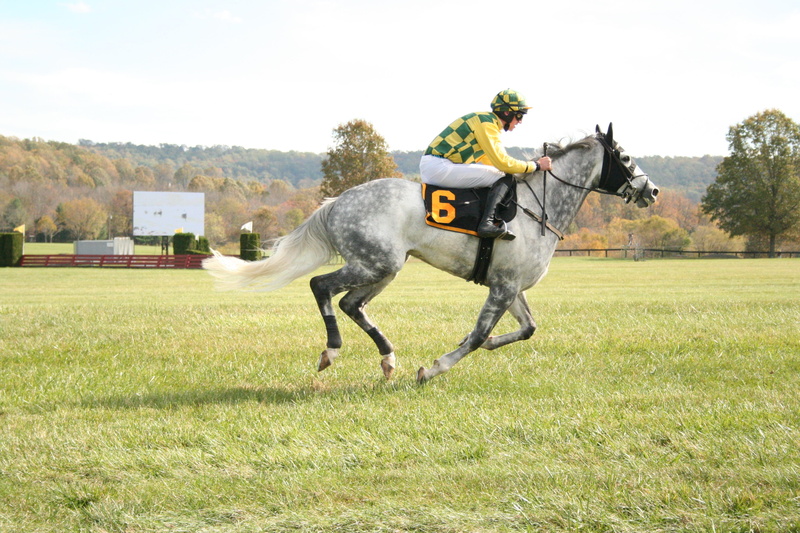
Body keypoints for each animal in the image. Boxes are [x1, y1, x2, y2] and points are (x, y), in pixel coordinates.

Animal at [203, 124, 660, 383]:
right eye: (625, 156)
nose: (652, 190)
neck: (539, 205)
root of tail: (337, 201)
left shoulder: (510, 286)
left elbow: (527, 329)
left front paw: (487, 346)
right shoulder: (503, 287)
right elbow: (476, 336)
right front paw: (434, 367)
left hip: (384, 268)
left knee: (351, 304)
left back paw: (388, 359)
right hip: (375, 263)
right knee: (321, 286)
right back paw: (331, 350)